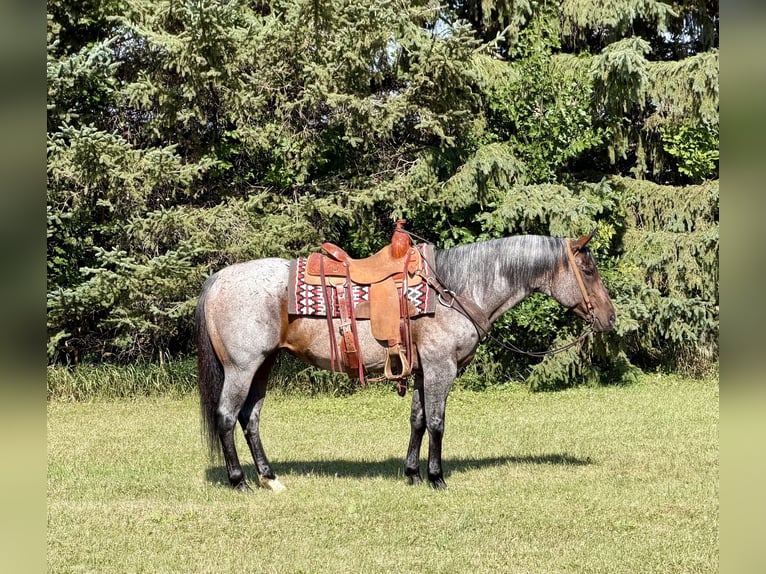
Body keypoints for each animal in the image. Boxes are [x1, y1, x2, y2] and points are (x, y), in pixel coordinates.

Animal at [195, 231, 616, 491]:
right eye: (589, 269)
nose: (610, 318)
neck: (455, 289)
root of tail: (218, 279)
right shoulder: (441, 367)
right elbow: (437, 422)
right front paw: (436, 477)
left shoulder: (421, 370)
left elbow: (417, 420)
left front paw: (412, 474)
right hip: (242, 369)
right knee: (227, 417)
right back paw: (239, 481)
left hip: (263, 367)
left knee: (250, 419)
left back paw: (270, 478)